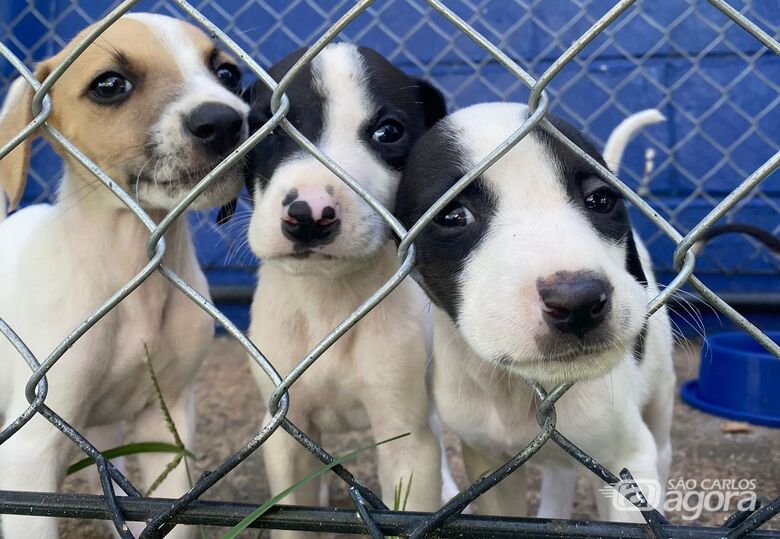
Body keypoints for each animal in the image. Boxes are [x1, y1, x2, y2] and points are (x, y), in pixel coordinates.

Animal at [396, 104, 676, 524]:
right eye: (453, 216)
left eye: (600, 200)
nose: (578, 302)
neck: (516, 389)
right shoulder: (489, 464)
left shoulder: (630, 462)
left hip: (658, 400)